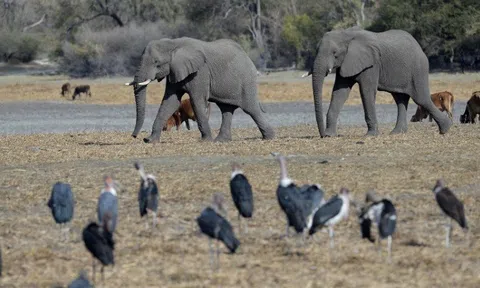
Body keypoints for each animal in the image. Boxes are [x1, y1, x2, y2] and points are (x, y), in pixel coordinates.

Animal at [124, 37, 274, 143]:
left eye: (156, 63)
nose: (134, 136)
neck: (173, 43)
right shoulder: (175, 71)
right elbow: (170, 102)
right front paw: (150, 141)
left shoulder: (200, 72)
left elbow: (196, 100)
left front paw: (205, 141)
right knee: (226, 109)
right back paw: (221, 140)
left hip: (246, 81)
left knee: (251, 109)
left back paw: (269, 137)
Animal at [310, 26, 452, 137]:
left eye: (334, 53)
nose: (322, 134)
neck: (346, 34)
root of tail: (419, 47)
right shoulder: (347, 62)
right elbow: (340, 92)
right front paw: (330, 135)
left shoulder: (372, 64)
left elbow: (366, 91)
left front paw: (370, 135)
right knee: (400, 99)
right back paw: (397, 133)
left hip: (418, 69)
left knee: (421, 98)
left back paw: (445, 129)